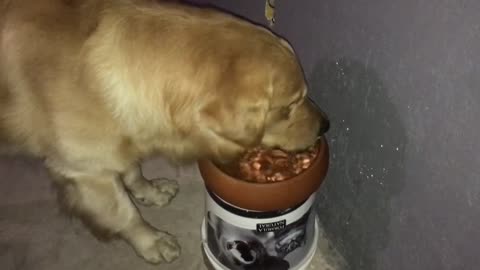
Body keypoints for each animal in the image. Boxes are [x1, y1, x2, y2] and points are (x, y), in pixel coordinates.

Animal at [0, 0, 330, 264]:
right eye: (289, 106)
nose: (326, 125)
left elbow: (131, 169)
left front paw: (148, 191)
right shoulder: (86, 172)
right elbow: (125, 213)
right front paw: (151, 241)